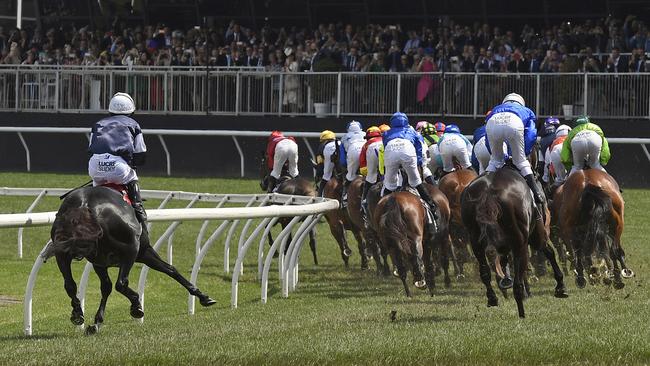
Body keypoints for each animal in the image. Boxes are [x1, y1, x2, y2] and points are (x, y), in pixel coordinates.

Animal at [44, 187, 215, 334]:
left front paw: (96, 323)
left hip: (62, 252)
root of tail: (85, 206)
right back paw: (136, 306)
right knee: (121, 283)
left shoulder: (99, 261)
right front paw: (203, 296)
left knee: (70, 284)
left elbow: (106, 287)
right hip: (130, 249)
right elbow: (170, 269)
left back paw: (78, 313)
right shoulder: (143, 252)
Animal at [458, 167, 564, 318]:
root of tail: (488, 193)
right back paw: (521, 312)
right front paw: (560, 285)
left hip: (475, 240)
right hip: (521, 241)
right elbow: (549, 252)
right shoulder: (535, 237)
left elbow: (503, 261)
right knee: (518, 282)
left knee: (485, 271)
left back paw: (493, 298)